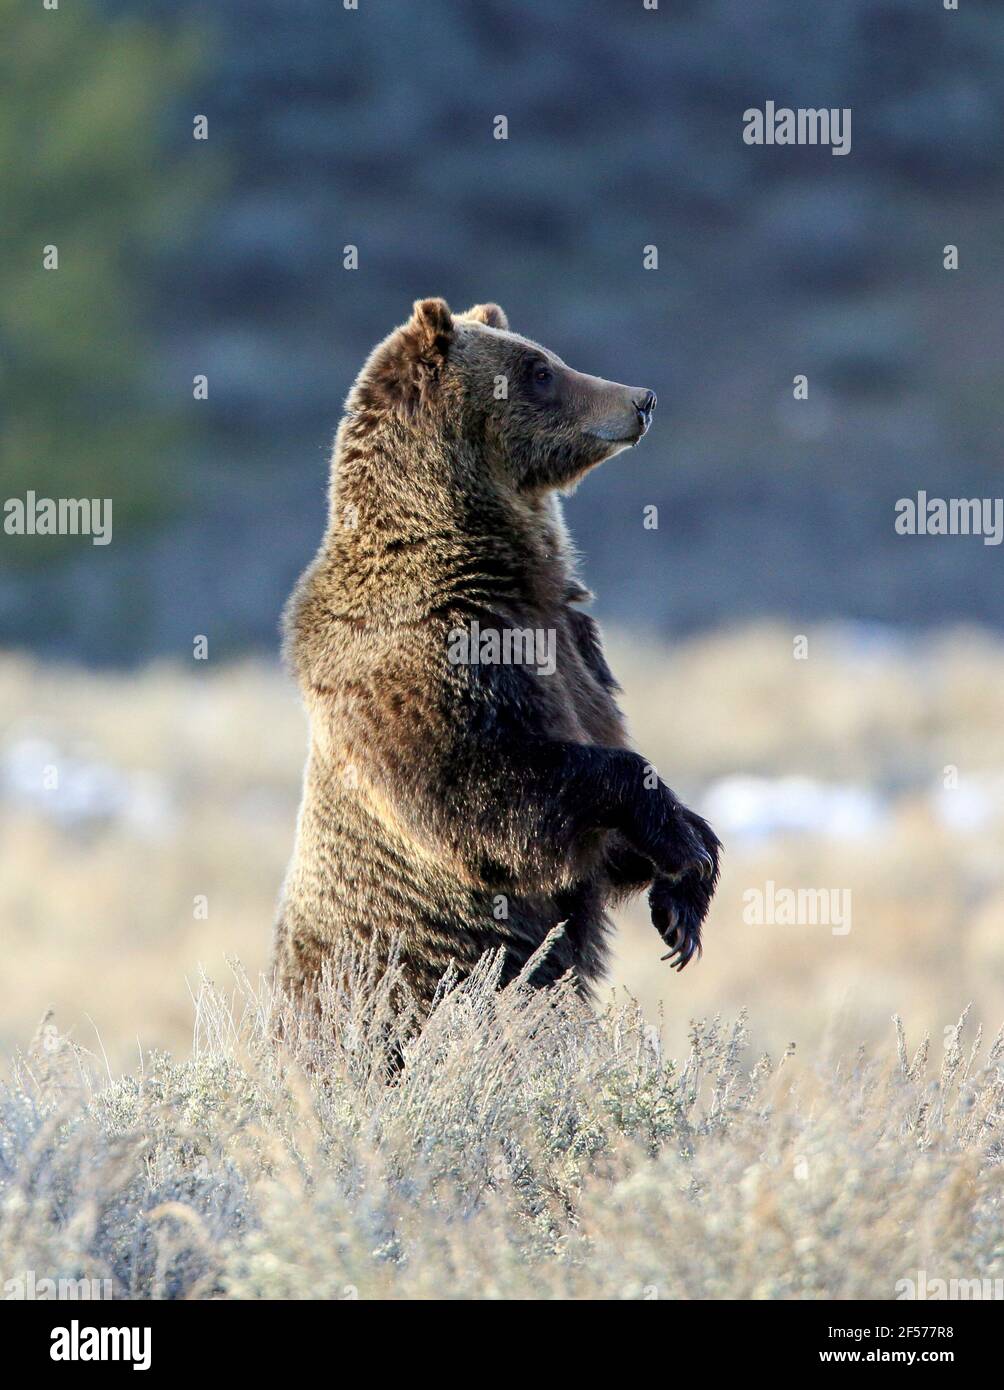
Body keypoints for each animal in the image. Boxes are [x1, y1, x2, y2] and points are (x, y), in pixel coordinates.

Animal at [269, 304, 717, 1017]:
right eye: (540, 370)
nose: (640, 399)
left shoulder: (577, 649)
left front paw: (686, 894)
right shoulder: (437, 658)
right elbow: (483, 791)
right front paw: (678, 839)